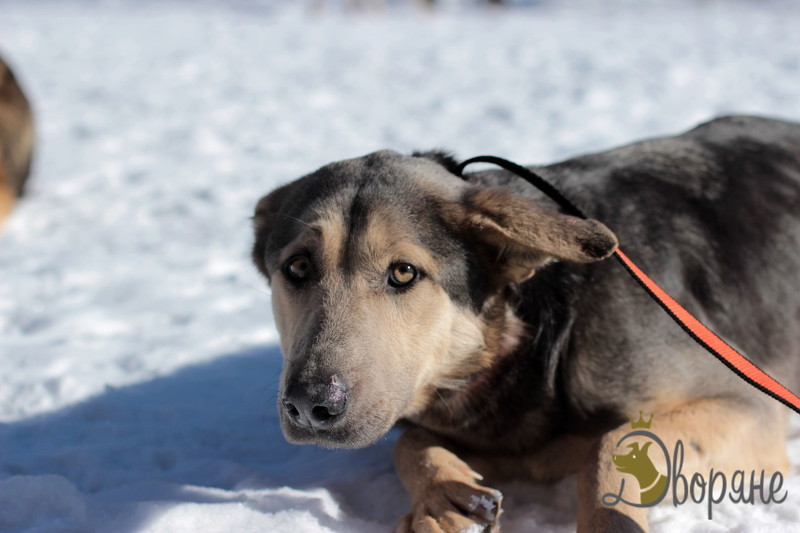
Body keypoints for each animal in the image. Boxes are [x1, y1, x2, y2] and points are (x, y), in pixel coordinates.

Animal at [252, 114, 800, 528]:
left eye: (403, 272)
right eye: (297, 268)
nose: (311, 405)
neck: (531, 339)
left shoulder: (749, 406)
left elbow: (606, 447)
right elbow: (408, 443)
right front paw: (440, 495)